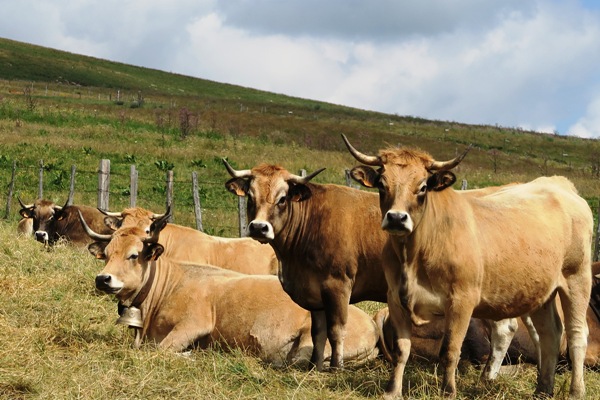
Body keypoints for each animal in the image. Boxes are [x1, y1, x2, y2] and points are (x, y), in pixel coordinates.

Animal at [340, 135, 592, 400]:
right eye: (382, 184)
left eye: (423, 187)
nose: (397, 218)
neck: (415, 254)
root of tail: (559, 184)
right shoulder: (396, 299)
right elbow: (402, 350)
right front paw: (392, 391)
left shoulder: (462, 301)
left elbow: (450, 350)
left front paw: (448, 391)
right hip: (540, 292)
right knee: (550, 334)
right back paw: (542, 389)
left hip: (577, 279)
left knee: (576, 333)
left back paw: (576, 391)